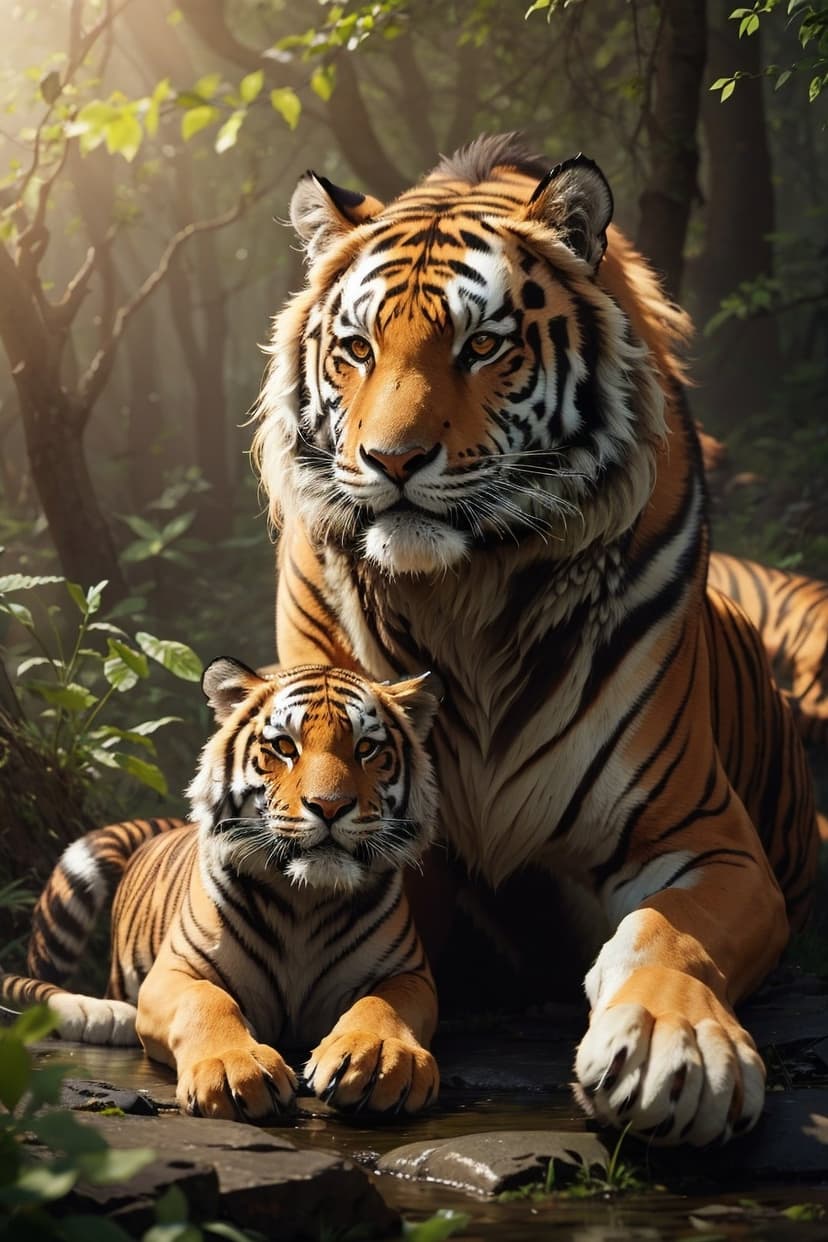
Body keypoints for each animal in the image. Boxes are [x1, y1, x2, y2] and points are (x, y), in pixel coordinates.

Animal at [1, 658, 440, 1121]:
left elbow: (385, 1004)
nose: (330, 806)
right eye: (284, 746)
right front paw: (234, 1066)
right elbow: (205, 1000)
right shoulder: (173, 972)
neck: (305, 898)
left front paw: (380, 1057)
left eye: (366, 748)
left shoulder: (408, 973)